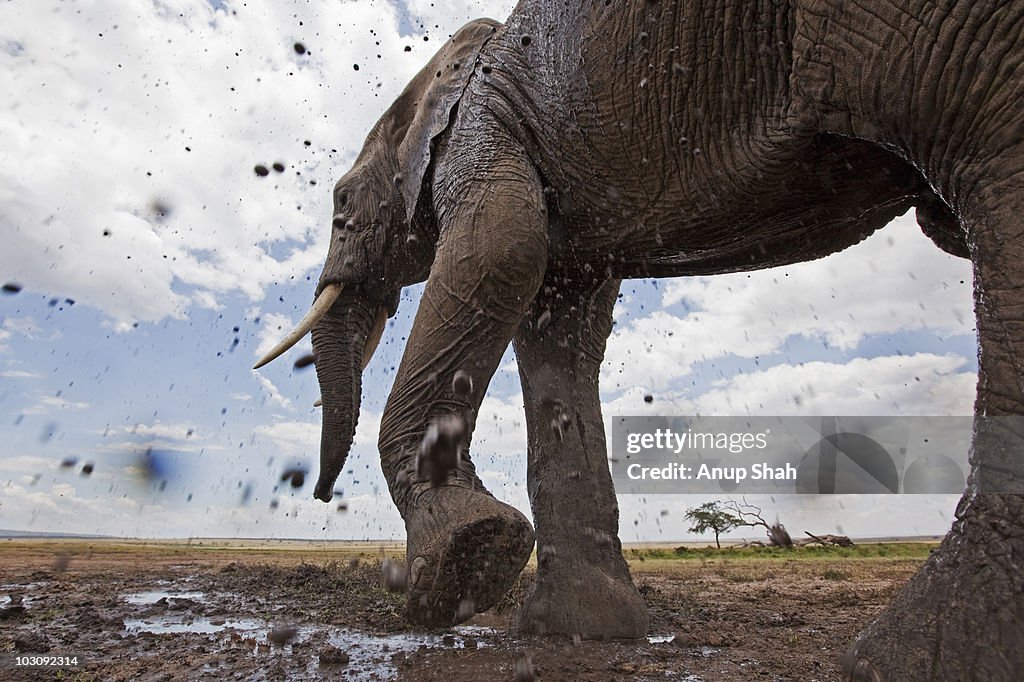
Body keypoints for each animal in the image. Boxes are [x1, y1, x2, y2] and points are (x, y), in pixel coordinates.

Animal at [249, 2, 1024, 675]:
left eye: (341, 206)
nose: (316, 495)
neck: (434, 76)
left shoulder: (483, 129)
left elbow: (500, 251)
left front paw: (466, 561)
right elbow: (555, 329)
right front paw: (581, 630)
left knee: (990, 148)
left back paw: (904, 658)